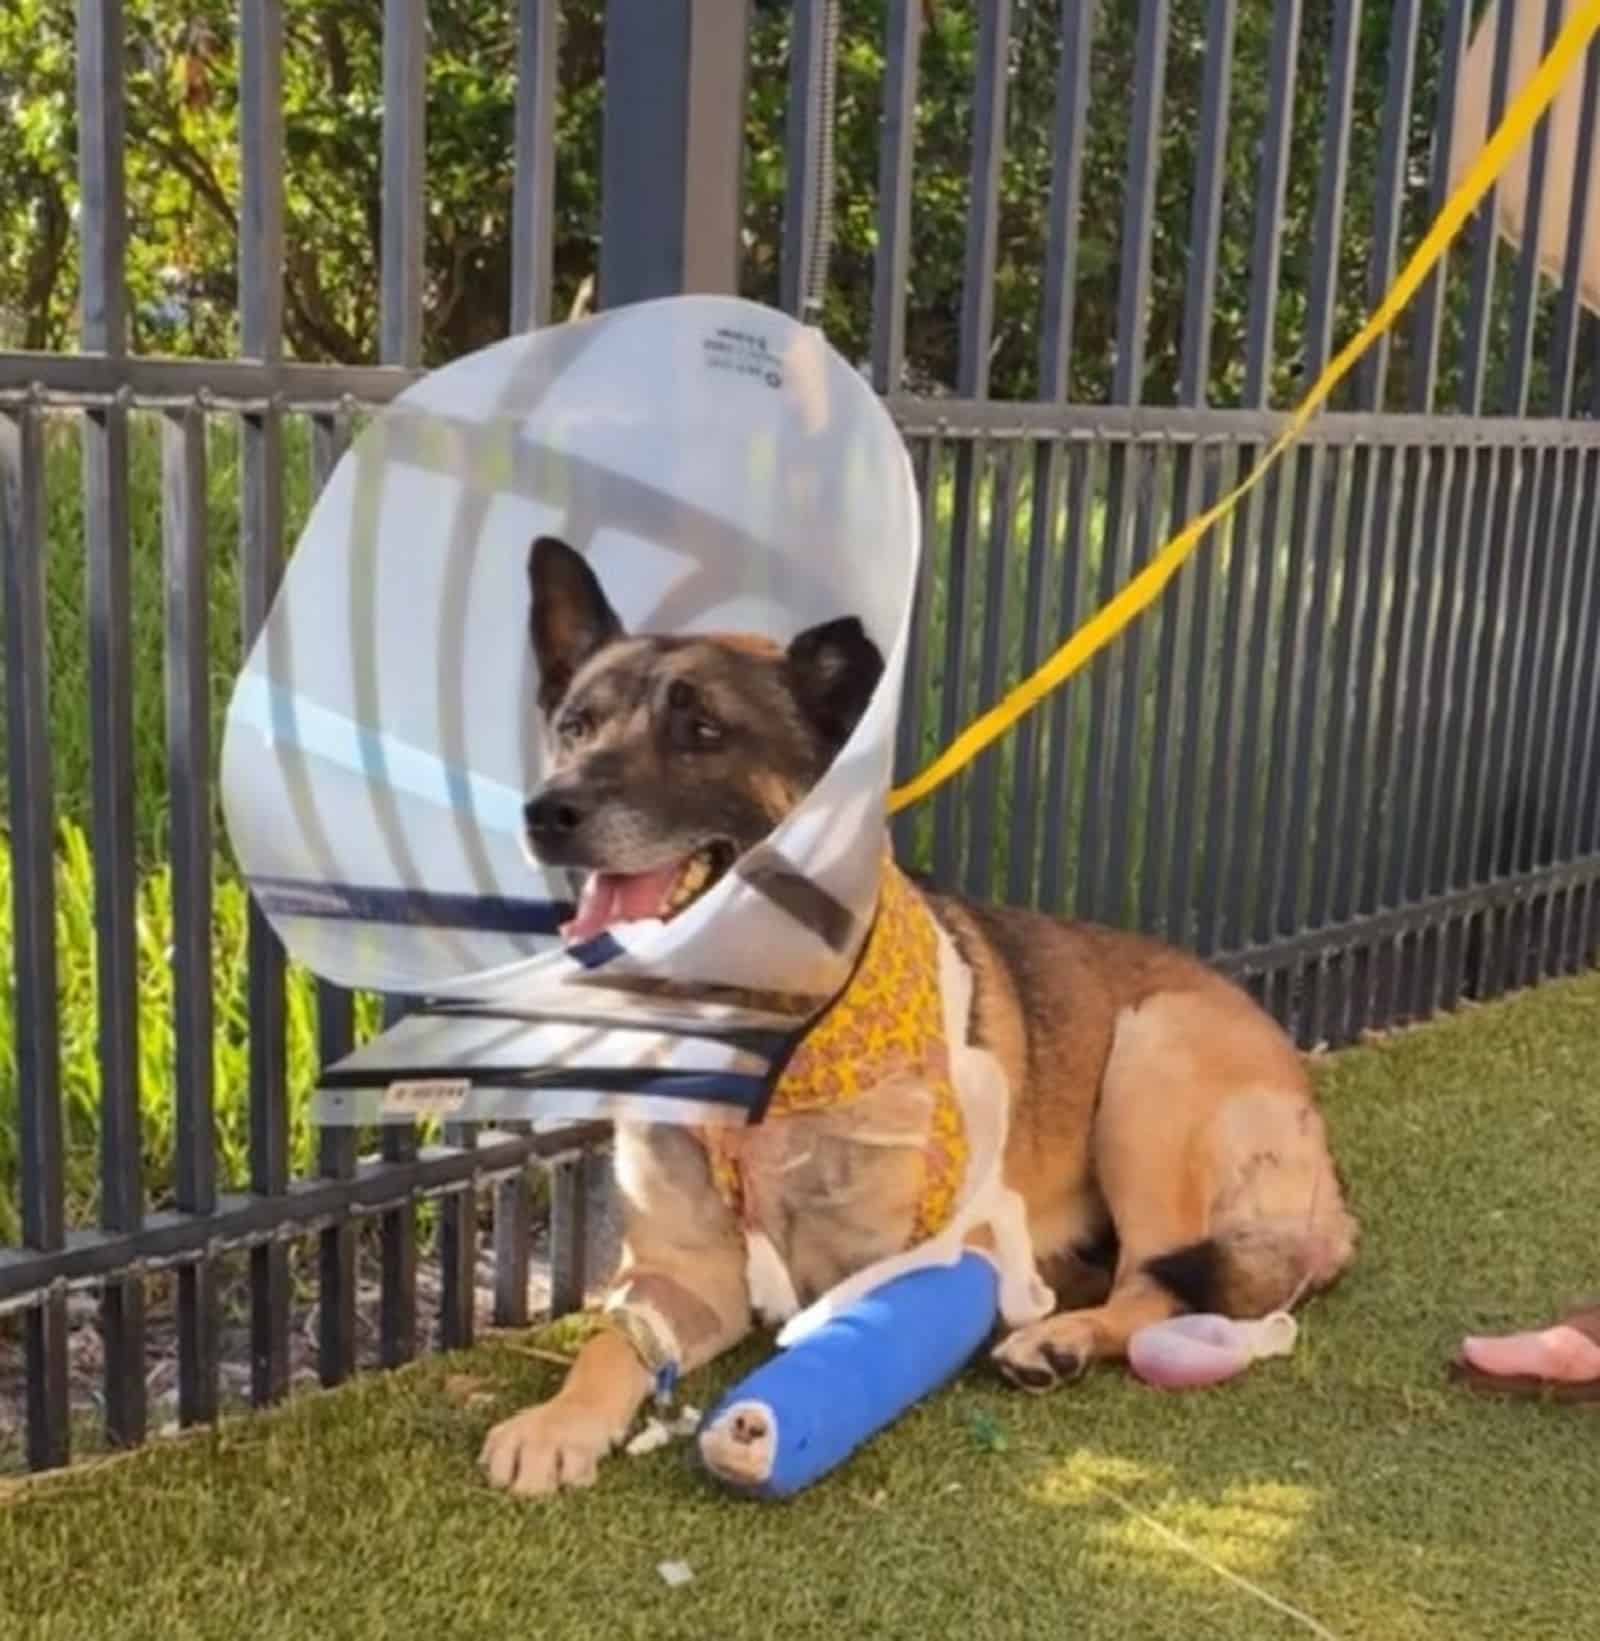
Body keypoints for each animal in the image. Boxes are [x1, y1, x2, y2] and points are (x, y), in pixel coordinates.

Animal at [475, 531, 1352, 1496]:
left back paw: (1061, 1335)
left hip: (1149, 1061)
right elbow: (608, 1340)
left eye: (702, 732)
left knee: (1153, 1285)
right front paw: (560, 1420)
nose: (547, 811)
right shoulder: (685, 1271)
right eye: (576, 727)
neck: (772, 1044)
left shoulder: (911, 1264)